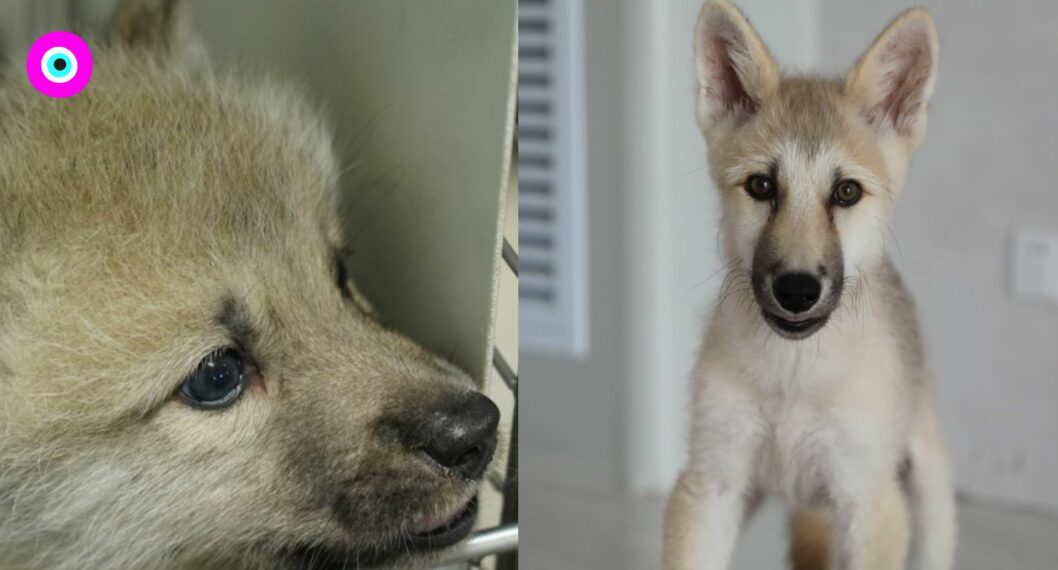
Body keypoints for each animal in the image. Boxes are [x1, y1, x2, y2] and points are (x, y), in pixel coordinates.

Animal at [662, 1, 955, 569]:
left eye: (846, 193)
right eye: (761, 186)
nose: (796, 291)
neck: (793, 378)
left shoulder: (870, 503)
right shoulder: (712, 485)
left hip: (927, 492)